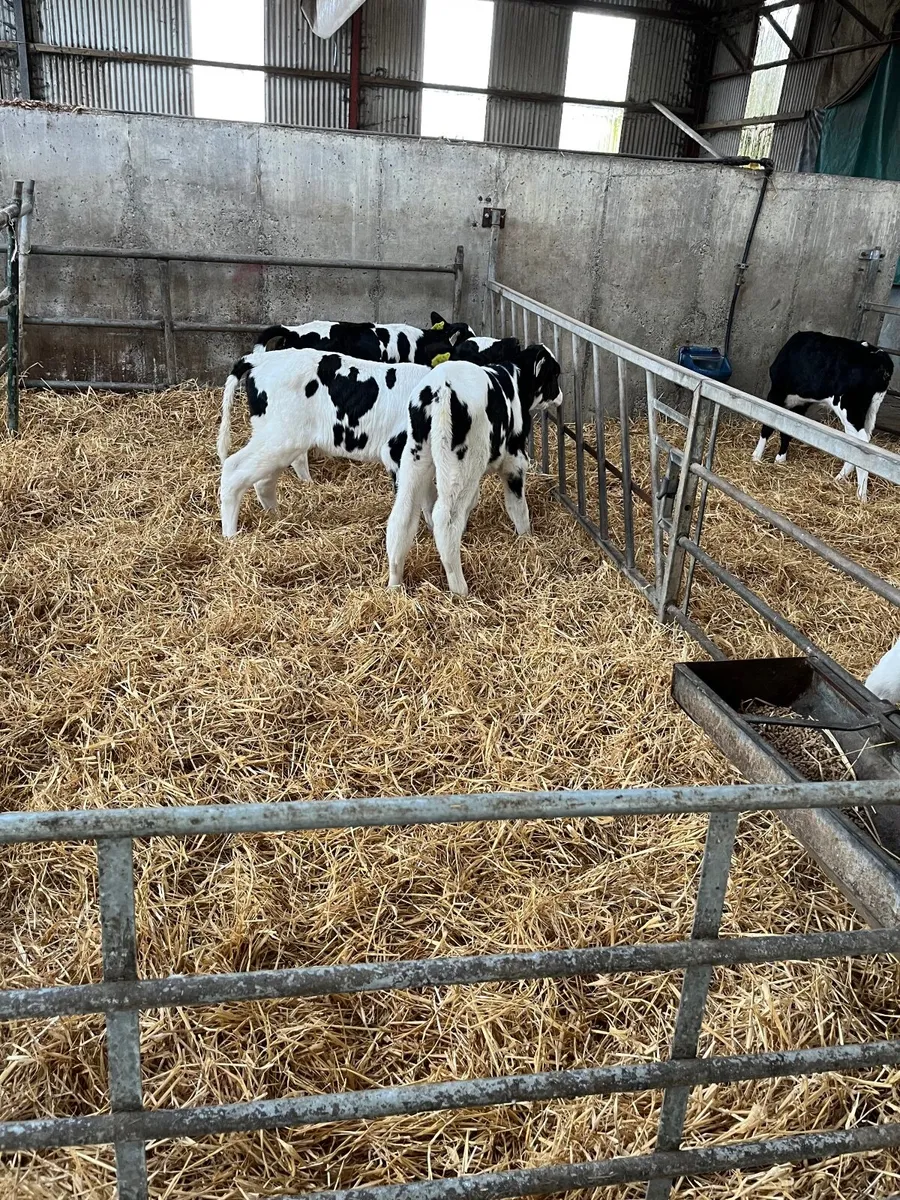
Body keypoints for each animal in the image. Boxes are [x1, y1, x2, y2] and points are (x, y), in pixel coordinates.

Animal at [386, 344, 563, 597]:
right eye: (554, 374)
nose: (559, 397)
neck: (517, 382)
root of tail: (439, 390)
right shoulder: (515, 459)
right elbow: (517, 505)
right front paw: (526, 538)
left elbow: (474, 500)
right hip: (462, 461)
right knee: (446, 519)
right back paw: (460, 589)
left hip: (416, 456)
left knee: (403, 514)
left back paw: (394, 584)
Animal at [752, 331, 894, 501]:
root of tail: (880, 356)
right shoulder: (801, 403)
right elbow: (788, 431)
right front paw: (780, 459)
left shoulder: (776, 392)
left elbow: (767, 424)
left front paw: (756, 456)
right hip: (869, 410)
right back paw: (839, 479)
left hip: (849, 409)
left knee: (862, 443)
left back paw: (861, 496)